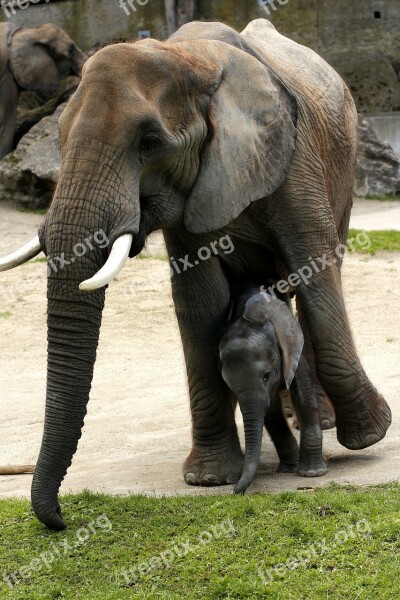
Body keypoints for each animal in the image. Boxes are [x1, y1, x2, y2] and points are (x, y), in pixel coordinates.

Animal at [219, 284, 328, 494]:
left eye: (266, 375)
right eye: (228, 384)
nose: (236, 491)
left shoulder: (291, 347)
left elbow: (303, 394)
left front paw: (312, 474)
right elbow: (270, 409)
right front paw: (289, 469)